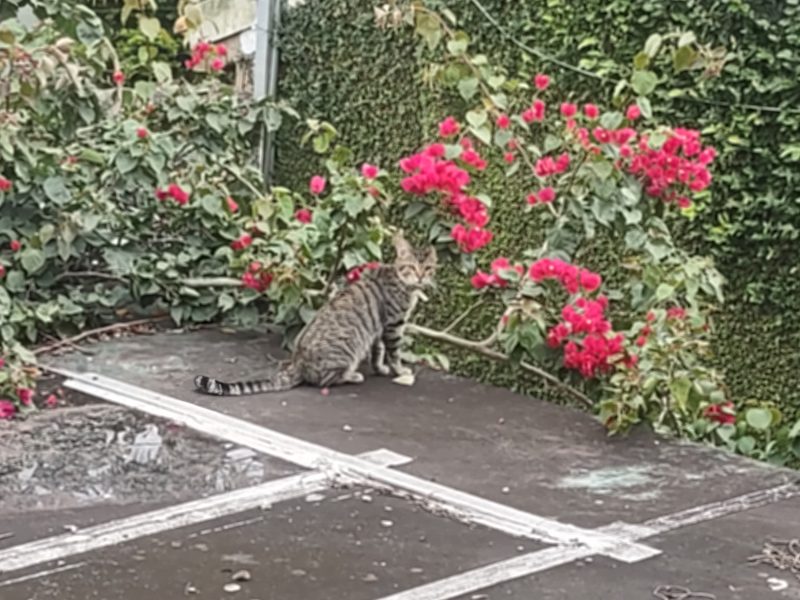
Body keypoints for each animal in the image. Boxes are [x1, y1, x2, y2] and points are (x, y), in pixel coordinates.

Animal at [195, 232, 438, 396]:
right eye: (411, 267)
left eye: (427, 268)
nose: (420, 277)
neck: (402, 281)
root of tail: (297, 363)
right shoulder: (394, 324)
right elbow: (394, 352)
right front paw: (400, 370)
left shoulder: (379, 328)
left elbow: (378, 353)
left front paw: (380, 369)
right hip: (347, 351)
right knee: (326, 380)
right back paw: (353, 376)